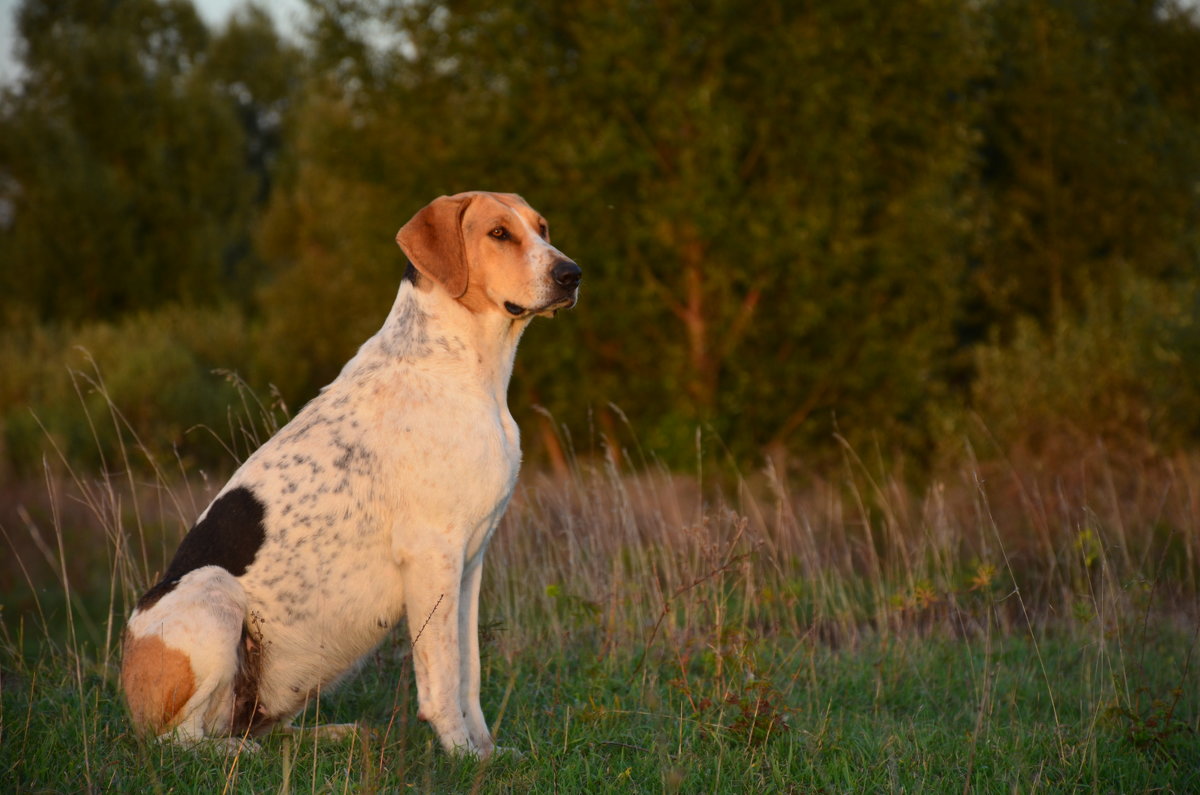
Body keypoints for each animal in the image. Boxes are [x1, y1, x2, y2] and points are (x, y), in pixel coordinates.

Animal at [118, 189, 580, 758]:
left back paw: (331, 734)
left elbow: (468, 671)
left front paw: (486, 753)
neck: (463, 367)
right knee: (180, 740)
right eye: (498, 234)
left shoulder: (470, 562)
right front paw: (460, 754)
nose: (572, 274)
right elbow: (443, 675)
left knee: (264, 729)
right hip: (213, 590)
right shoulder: (432, 556)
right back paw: (234, 753)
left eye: (542, 228)